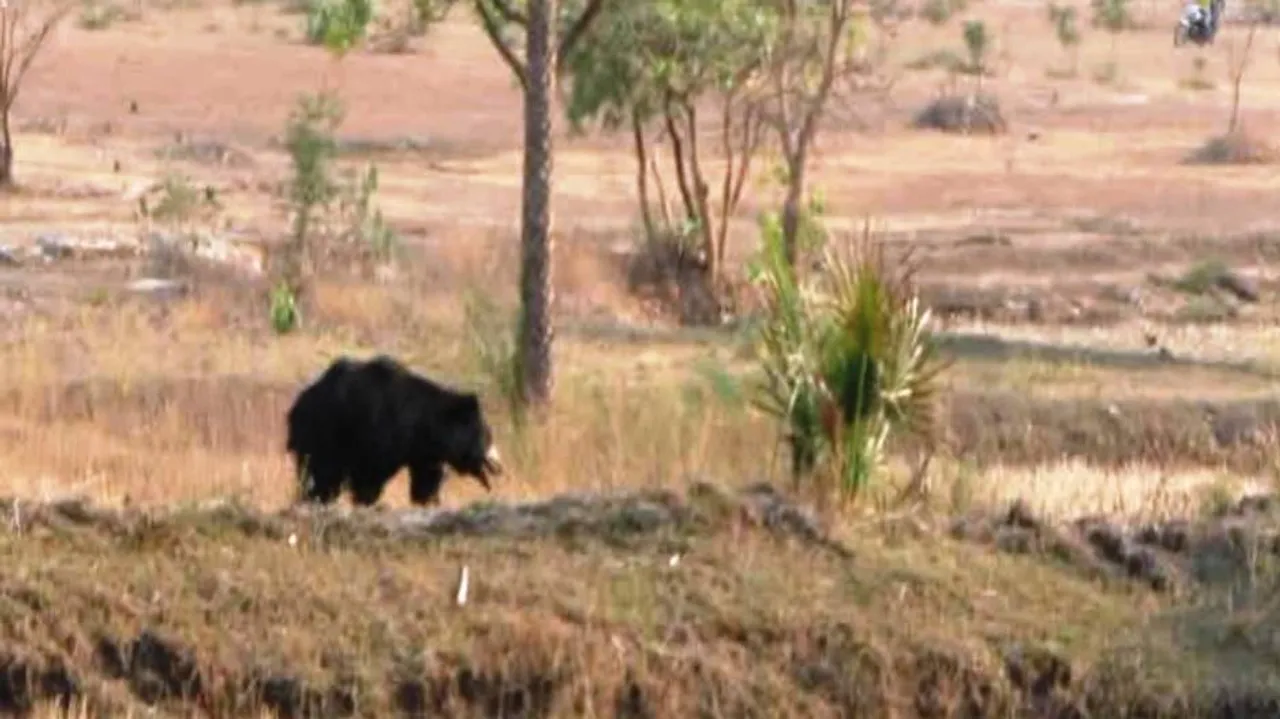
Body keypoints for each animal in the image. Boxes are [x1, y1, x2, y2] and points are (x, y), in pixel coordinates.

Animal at [285, 354, 504, 507]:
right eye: (486, 437)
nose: (499, 466)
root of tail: (297, 405)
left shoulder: (424, 454)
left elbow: (426, 479)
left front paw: (428, 501)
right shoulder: (379, 432)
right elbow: (370, 474)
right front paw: (367, 501)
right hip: (323, 434)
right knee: (322, 475)